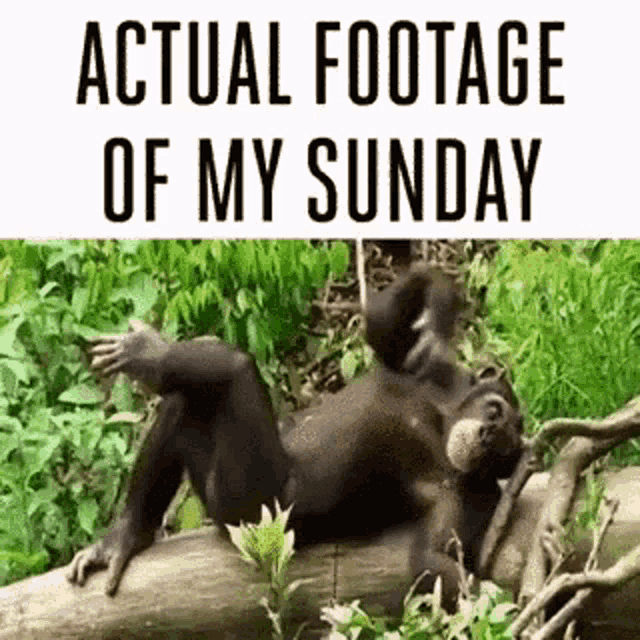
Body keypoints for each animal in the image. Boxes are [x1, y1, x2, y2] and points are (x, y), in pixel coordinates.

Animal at [66, 264, 524, 612]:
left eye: (504, 449)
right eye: (495, 412)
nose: (488, 435)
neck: (439, 424)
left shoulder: (469, 494)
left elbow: (433, 560)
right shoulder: (443, 376)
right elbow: (383, 331)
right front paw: (440, 307)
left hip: (246, 507)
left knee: (231, 368)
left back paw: (149, 355)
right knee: (184, 403)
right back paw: (125, 536)